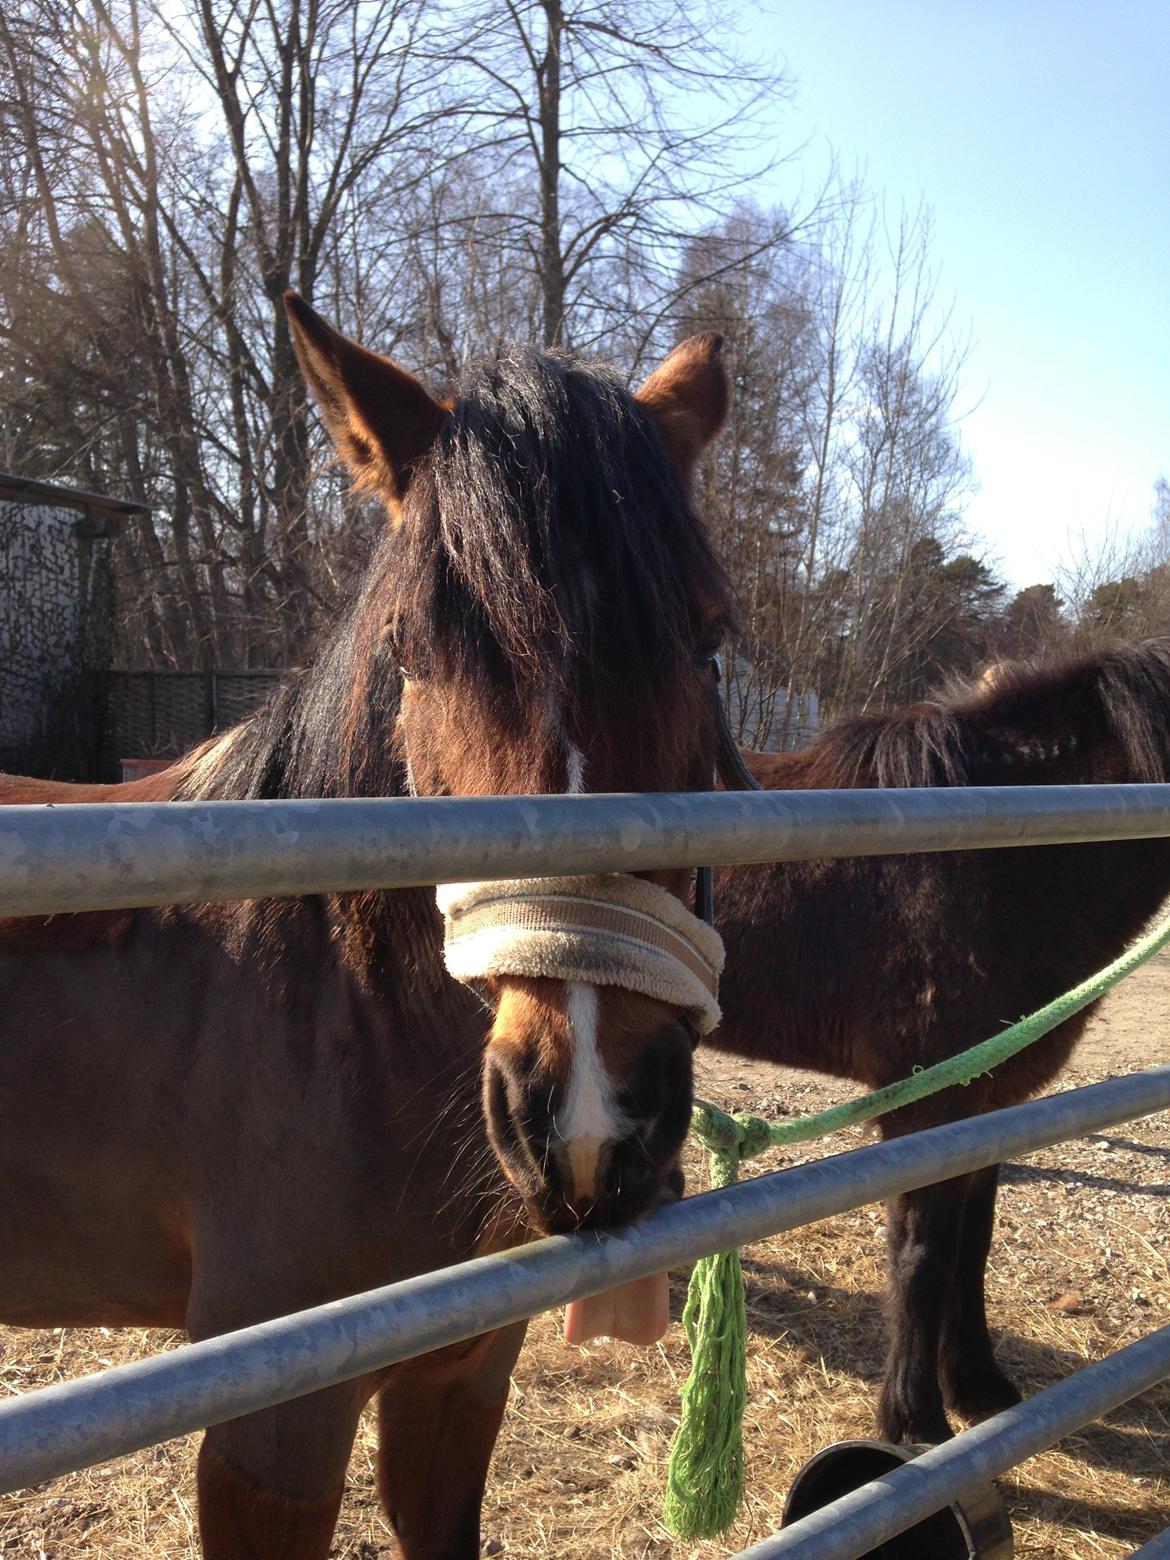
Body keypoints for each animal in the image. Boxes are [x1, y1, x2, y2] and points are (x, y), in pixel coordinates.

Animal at [0, 297, 733, 1553]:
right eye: (413, 651)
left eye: (707, 638)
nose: (592, 1116)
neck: (332, 1016)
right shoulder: (272, 1429)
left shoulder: (458, 1375)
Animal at [714, 639, 1170, 1441]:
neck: (1003, 861)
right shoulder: (923, 1108)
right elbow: (923, 1253)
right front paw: (915, 1419)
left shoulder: (989, 1105)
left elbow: (971, 1244)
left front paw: (979, 1386)